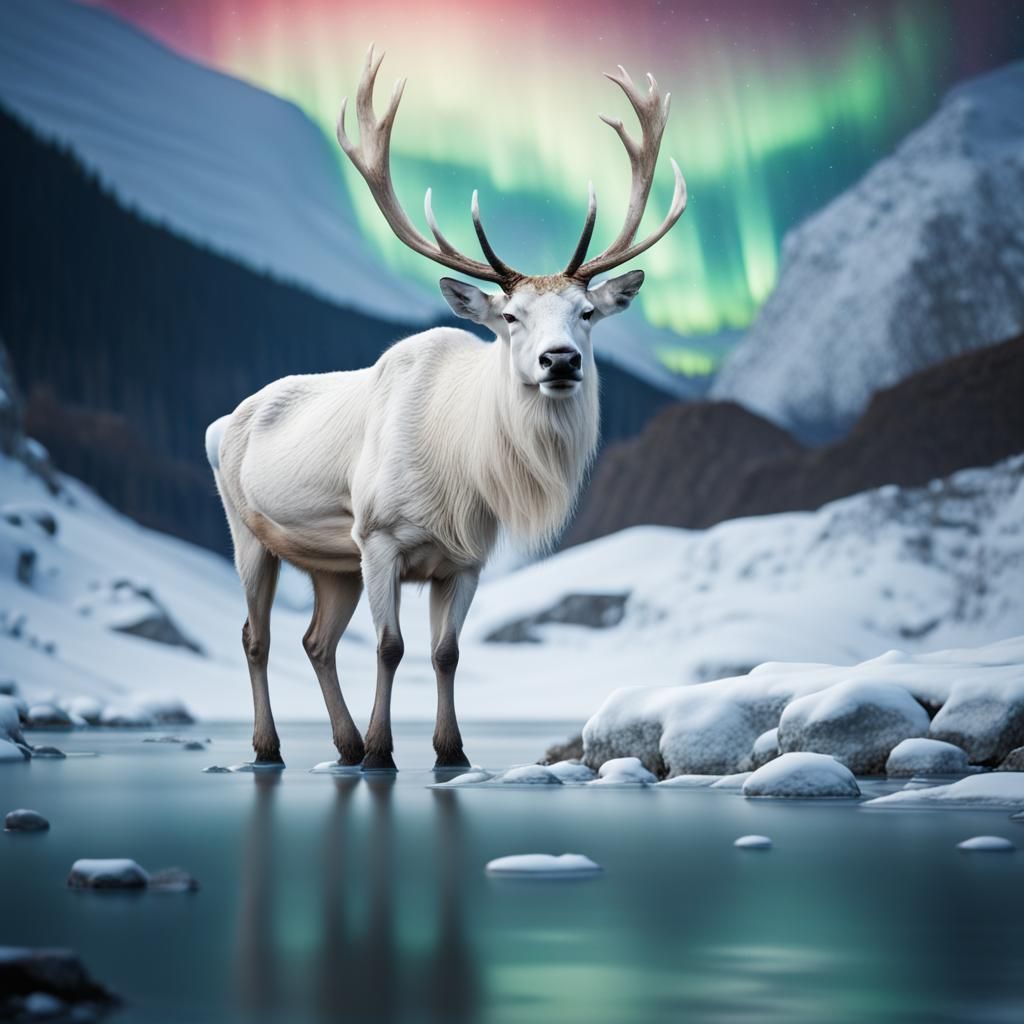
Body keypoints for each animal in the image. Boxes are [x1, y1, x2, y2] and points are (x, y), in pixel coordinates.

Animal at [205, 46, 687, 771]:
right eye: (511, 317)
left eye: (586, 313)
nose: (560, 361)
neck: (459, 474)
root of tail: (220, 424)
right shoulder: (378, 537)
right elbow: (390, 647)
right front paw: (383, 752)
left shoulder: (464, 561)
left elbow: (446, 652)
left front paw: (450, 752)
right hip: (248, 532)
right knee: (254, 636)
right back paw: (272, 747)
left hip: (331, 564)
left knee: (316, 641)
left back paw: (342, 744)